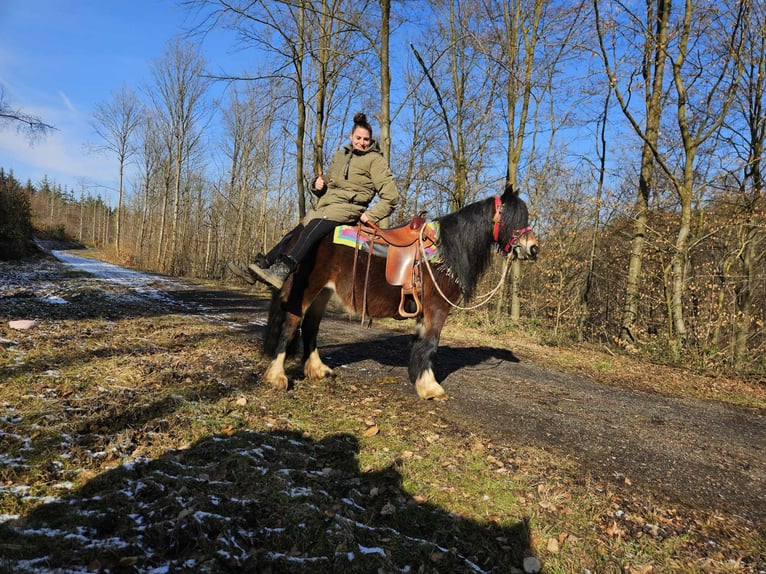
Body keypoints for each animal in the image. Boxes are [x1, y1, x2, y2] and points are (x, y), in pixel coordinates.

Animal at [264, 184, 540, 400]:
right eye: (512, 219)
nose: (533, 248)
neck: (445, 252)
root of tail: (301, 232)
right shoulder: (436, 309)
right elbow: (430, 344)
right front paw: (431, 388)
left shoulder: (424, 311)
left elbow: (421, 344)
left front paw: (420, 380)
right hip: (306, 290)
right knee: (291, 325)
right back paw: (277, 376)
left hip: (323, 293)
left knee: (310, 327)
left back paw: (318, 369)